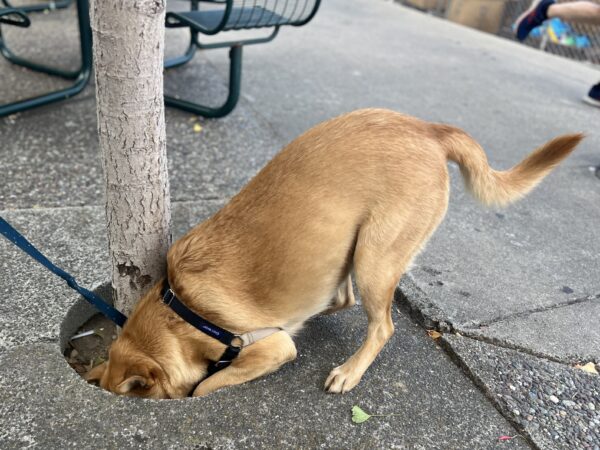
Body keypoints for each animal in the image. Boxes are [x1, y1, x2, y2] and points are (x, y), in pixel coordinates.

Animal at [85, 108, 580, 398]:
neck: (179, 308)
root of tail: (429, 130)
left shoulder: (270, 348)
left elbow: (205, 387)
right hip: (350, 249)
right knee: (343, 298)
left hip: (375, 260)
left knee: (381, 325)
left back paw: (350, 371)